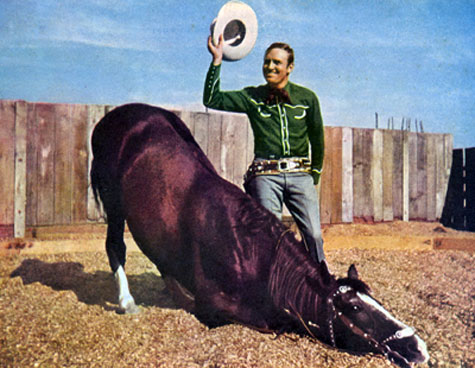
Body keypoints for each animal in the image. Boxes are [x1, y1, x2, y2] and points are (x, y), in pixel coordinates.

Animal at [91, 103, 430, 368]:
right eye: (355, 309)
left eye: (376, 300)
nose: (417, 347)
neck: (253, 257)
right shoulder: (214, 305)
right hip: (113, 202)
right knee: (115, 246)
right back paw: (127, 301)